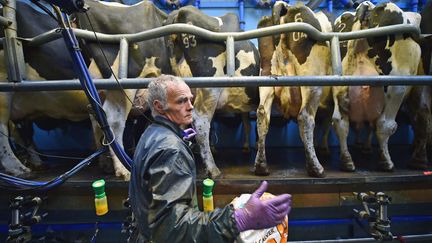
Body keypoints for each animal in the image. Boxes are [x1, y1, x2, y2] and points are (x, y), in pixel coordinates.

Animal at [255, 0, 336, 178]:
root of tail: (286, 7)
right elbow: (328, 122)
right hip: (312, 80)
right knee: (305, 117)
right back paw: (315, 168)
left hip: (266, 76)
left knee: (262, 114)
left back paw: (261, 166)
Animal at [330, 0, 422, 172]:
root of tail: (369, 7)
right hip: (396, 86)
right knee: (386, 125)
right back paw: (386, 162)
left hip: (339, 84)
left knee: (340, 121)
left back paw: (347, 160)